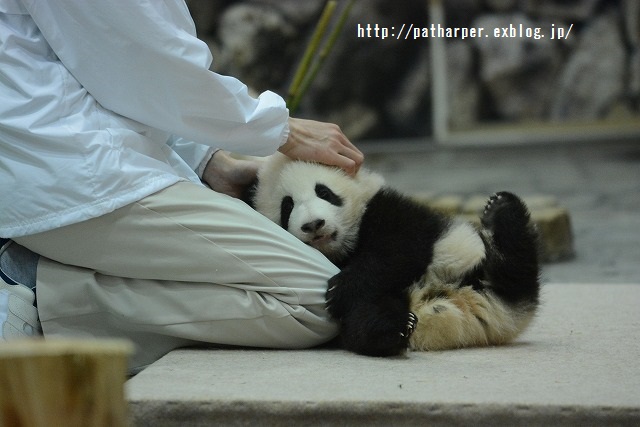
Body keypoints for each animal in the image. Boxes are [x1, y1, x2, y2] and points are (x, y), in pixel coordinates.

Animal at [245, 154, 540, 358]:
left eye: (324, 192)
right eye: (287, 206)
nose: (314, 225)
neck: (342, 249)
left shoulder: (388, 208)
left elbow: (400, 249)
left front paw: (342, 289)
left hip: (465, 260)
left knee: (516, 268)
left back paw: (502, 211)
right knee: (364, 316)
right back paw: (393, 327)